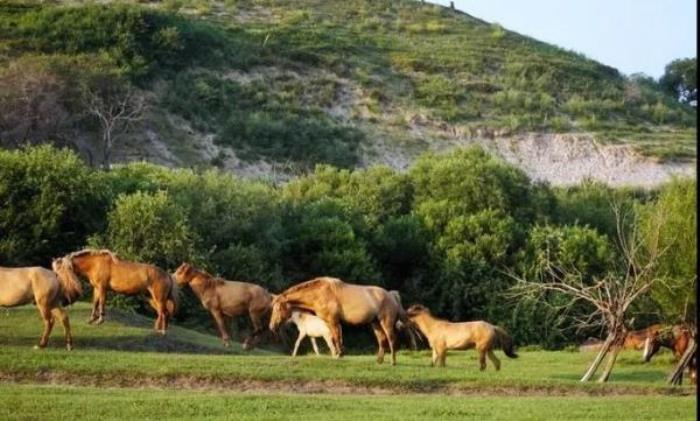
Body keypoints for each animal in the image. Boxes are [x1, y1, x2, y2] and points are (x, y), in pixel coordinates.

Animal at [268, 276, 410, 364]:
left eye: (278, 308)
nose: (271, 326)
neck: (320, 293)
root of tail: (391, 295)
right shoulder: (331, 323)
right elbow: (337, 338)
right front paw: (340, 354)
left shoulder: (333, 321)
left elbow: (335, 337)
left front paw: (337, 355)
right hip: (375, 324)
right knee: (382, 340)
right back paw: (379, 361)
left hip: (386, 323)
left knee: (391, 340)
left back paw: (393, 362)